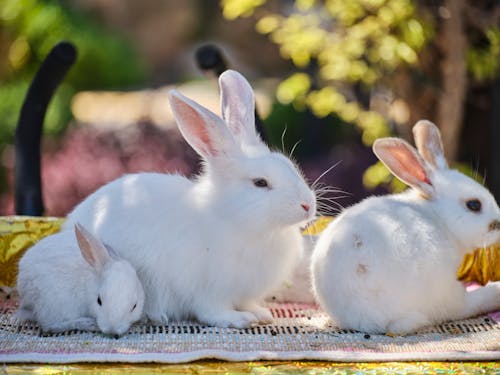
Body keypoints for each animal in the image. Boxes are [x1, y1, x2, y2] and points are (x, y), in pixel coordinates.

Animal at [16, 223, 145, 338]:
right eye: (99, 301)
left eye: (134, 306)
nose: (112, 331)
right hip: (57, 303)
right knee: (50, 326)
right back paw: (87, 323)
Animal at [64, 70, 316, 328]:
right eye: (260, 183)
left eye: (290, 166)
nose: (308, 205)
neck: (234, 219)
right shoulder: (208, 288)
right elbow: (212, 311)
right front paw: (238, 319)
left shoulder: (242, 291)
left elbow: (246, 302)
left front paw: (260, 314)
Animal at [310, 120, 500, 334]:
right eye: (474, 205)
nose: (498, 223)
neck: (438, 217)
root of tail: (368, 318)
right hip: (445, 291)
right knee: (464, 306)